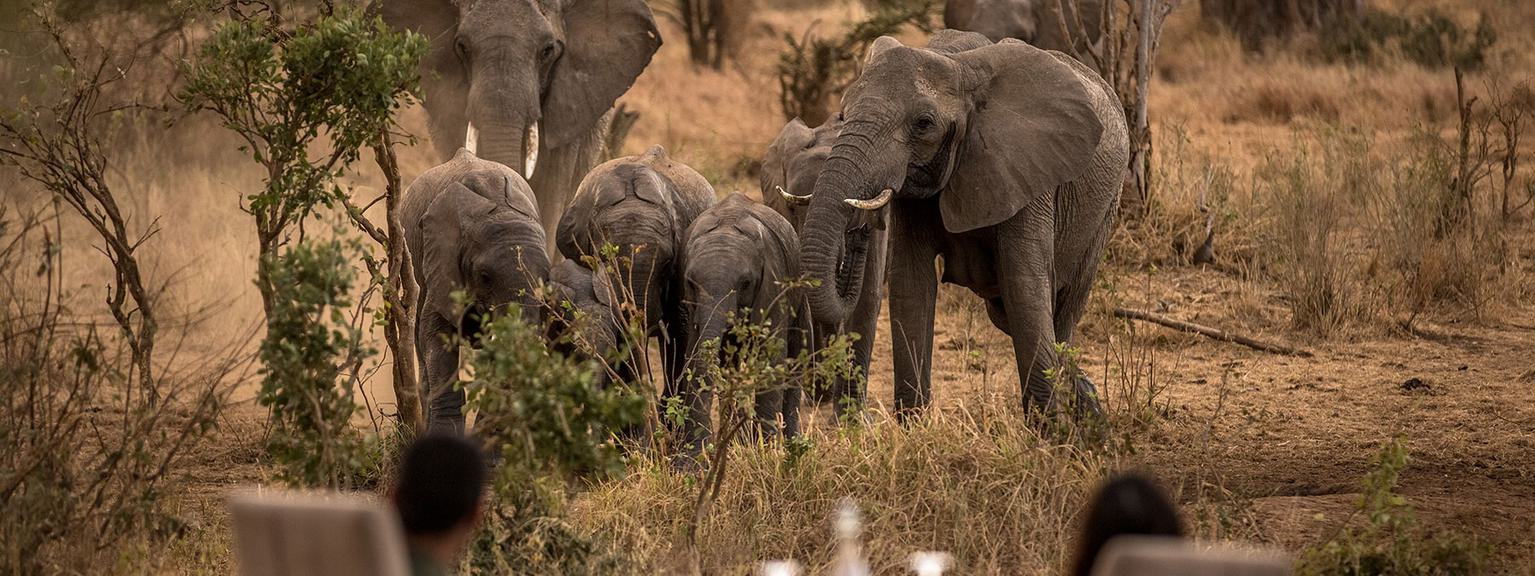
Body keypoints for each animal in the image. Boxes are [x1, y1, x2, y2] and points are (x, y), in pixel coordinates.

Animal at [679, 192, 807, 447]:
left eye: (745, 283)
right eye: (690, 283)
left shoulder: (774, 282)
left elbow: (773, 354)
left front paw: (766, 450)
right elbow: (696, 356)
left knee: (795, 351)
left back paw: (792, 443)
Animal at [794, 30, 1127, 417]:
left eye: (924, 123)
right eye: (843, 114)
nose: (862, 223)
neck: (956, 64)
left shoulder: (1027, 172)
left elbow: (1024, 287)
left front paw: (1048, 429)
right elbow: (911, 285)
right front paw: (914, 424)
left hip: (1105, 210)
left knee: (1061, 310)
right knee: (1007, 315)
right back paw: (1089, 408)